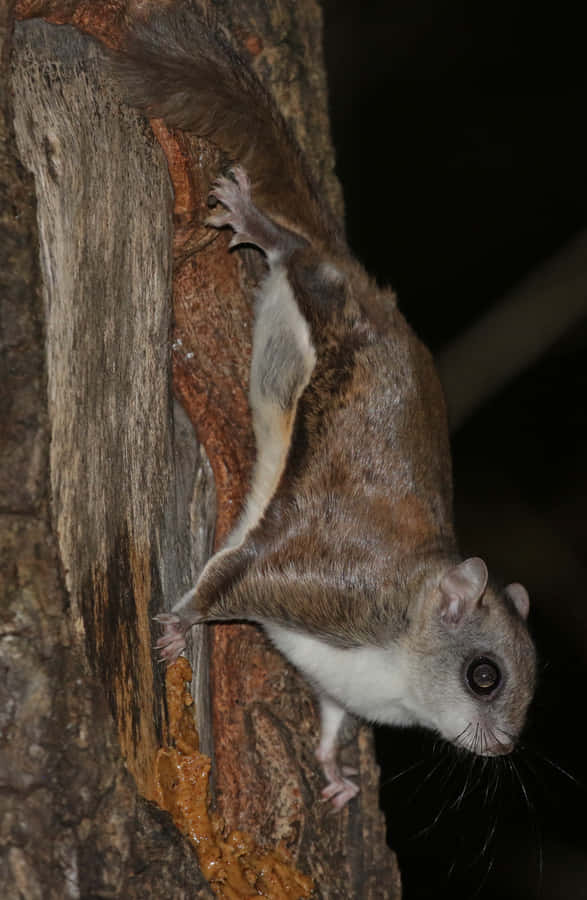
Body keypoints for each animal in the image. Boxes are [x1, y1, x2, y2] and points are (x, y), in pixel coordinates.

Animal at [113, 5, 536, 809]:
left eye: (534, 689)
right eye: (483, 675)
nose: (502, 748)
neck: (400, 658)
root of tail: (368, 284)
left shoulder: (341, 684)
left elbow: (333, 719)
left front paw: (337, 775)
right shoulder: (319, 588)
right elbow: (229, 580)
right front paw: (181, 625)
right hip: (324, 297)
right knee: (297, 253)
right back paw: (259, 220)